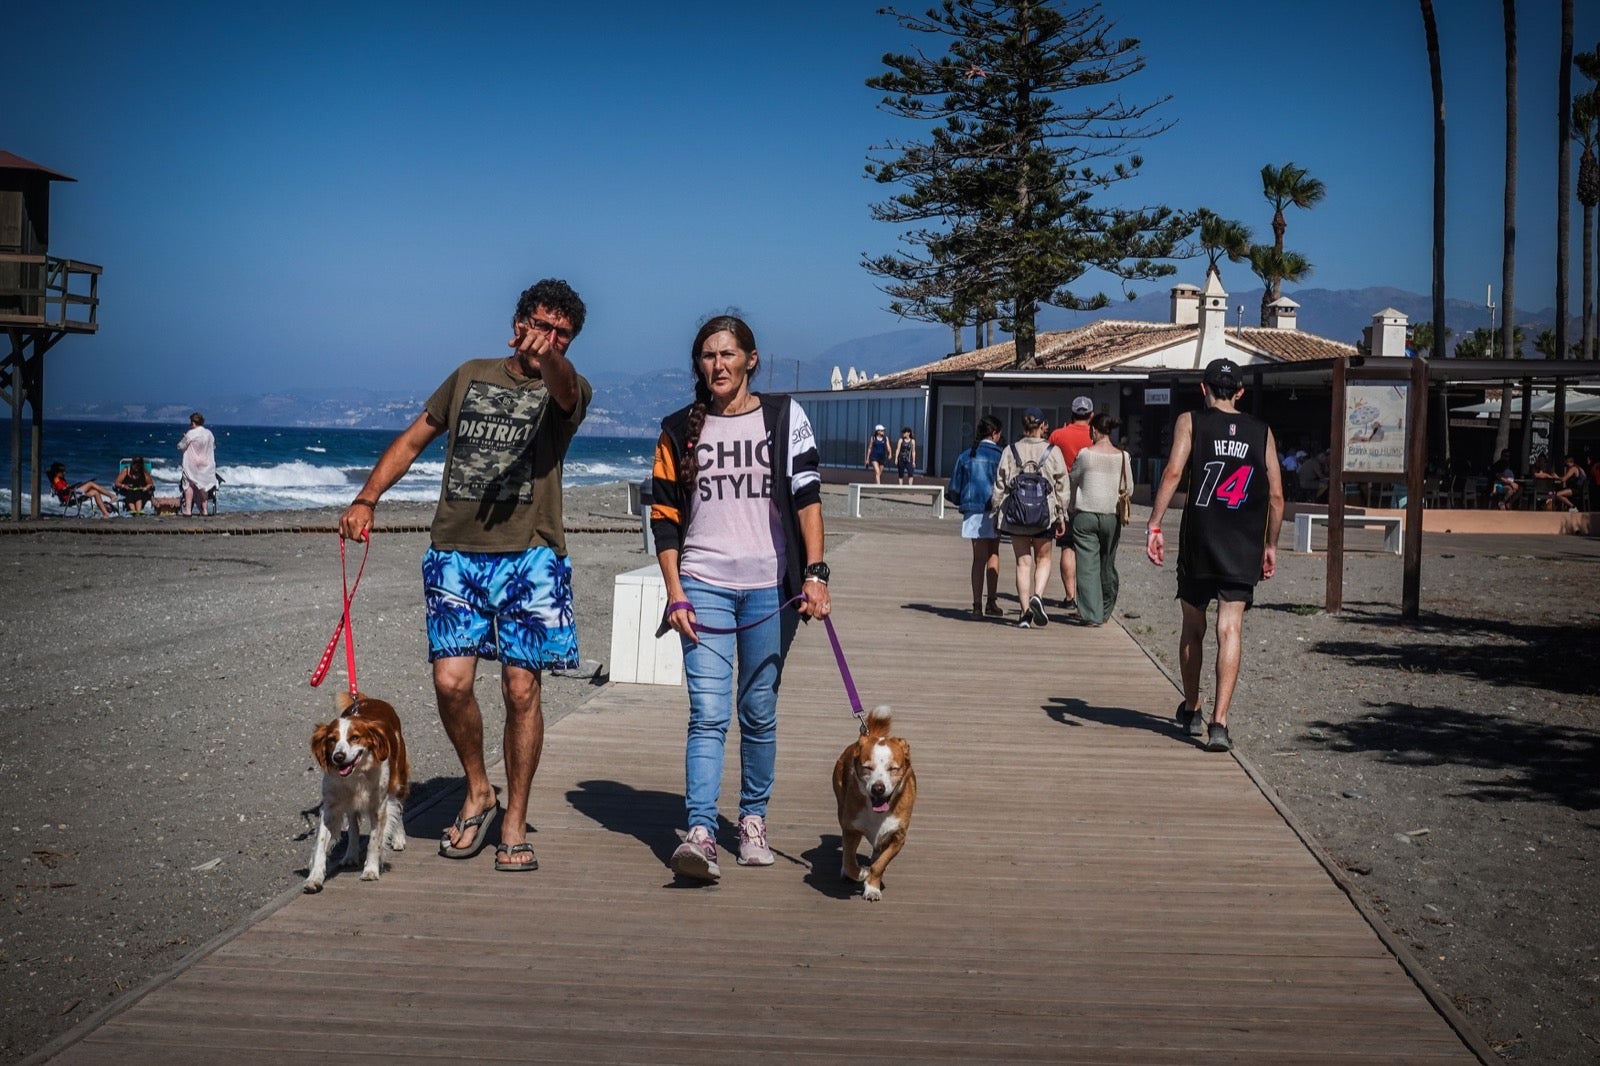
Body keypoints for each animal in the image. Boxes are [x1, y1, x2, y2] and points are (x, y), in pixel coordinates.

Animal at [302, 688, 409, 889]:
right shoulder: (330, 807)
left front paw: (371, 870)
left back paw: (399, 837)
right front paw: (314, 877)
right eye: (331, 740)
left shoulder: (378, 807)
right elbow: (321, 844)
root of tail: (369, 700)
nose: (338, 756)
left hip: (398, 781)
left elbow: (374, 841)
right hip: (350, 804)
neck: (356, 776)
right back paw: (350, 855)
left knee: (397, 807)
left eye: (355, 737)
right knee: (353, 827)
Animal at [832, 704, 921, 896]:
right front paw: (860, 873)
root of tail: (869, 735)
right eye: (867, 768)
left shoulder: (898, 837)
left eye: (893, 769)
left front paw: (872, 886)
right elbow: (849, 860)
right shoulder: (851, 829)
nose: (878, 788)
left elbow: (880, 864)